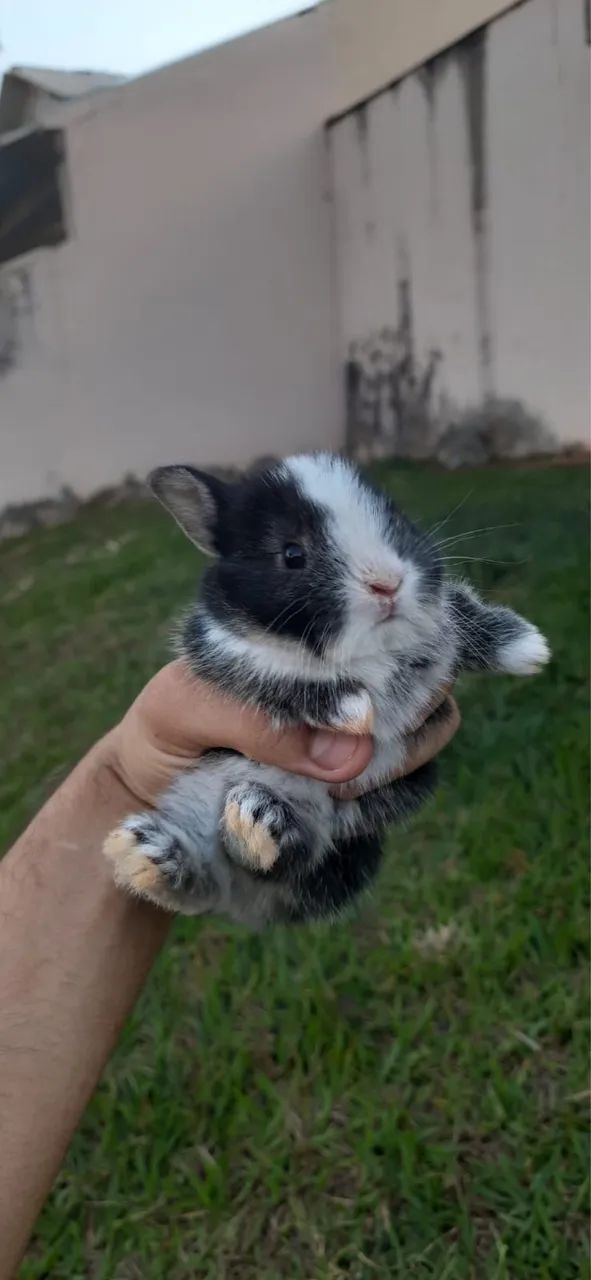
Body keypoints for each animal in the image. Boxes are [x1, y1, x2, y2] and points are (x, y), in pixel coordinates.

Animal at [104, 453, 550, 927]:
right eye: (292, 554)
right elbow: (280, 682)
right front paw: (353, 709)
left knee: (280, 860)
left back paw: (247, 830)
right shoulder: (223, 653)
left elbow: (460, 614)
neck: (368, 651)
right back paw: (156, 852)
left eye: (396, 520)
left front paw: (527, 648)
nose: (387, 583)